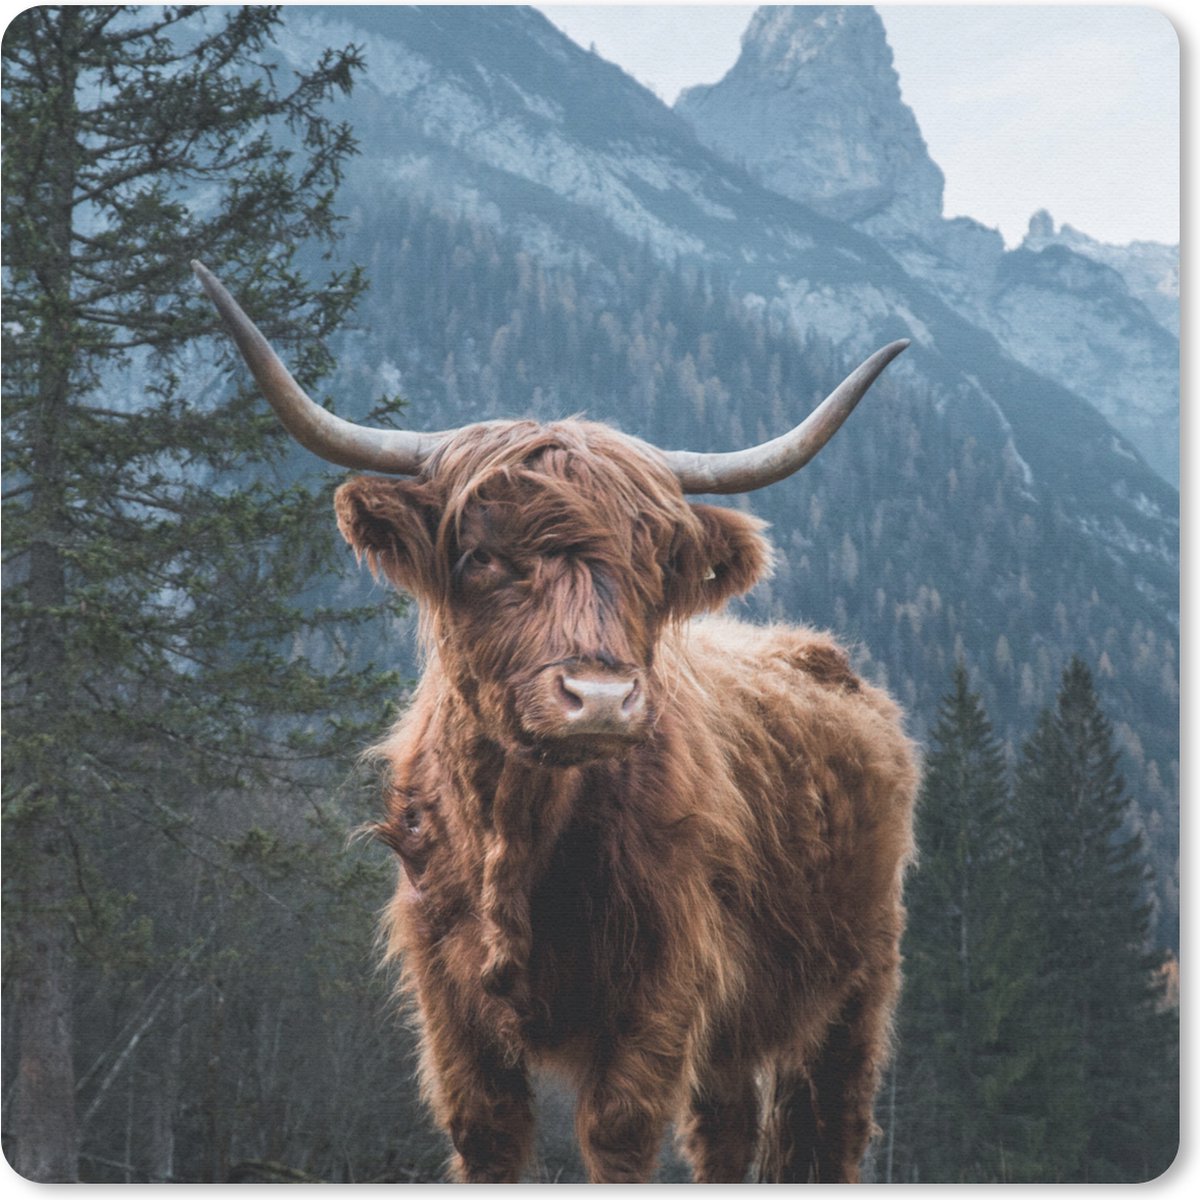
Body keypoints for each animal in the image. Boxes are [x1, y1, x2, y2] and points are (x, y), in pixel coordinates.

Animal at [193, 261, 918, 1184]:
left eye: (653, 564)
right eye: (480, 556)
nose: (600, 697)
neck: (518, 833)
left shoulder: (660, 988)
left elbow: (618, 1135)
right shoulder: (451, 1005)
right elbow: (489, 1135)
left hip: (855, 986)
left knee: (825, 1131)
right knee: (726, 1130)